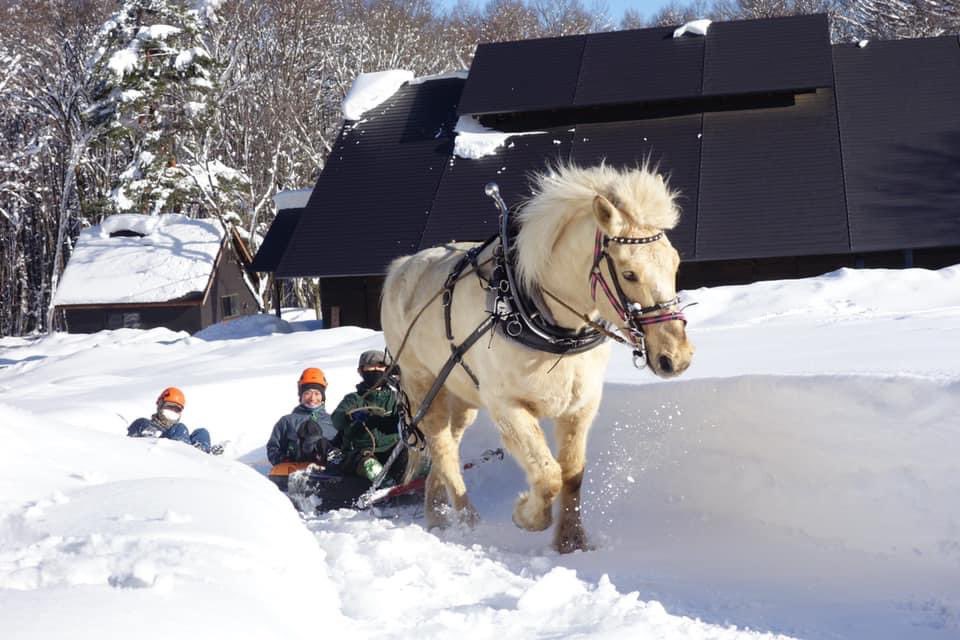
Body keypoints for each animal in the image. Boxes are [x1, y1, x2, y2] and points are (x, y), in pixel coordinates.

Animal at [380, 163, 694, 553]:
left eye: (675, 263)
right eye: (629, 273)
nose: (676, 356)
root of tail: (401, 267)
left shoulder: (581, 406)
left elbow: (572, 473)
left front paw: (571, 542)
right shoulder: (506, 405)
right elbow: (548, 475)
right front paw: (525, 516)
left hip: (460, 393)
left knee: (446, 445)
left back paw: (437, 515)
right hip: (422, 384)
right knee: (442, 449)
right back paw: (467, 521)